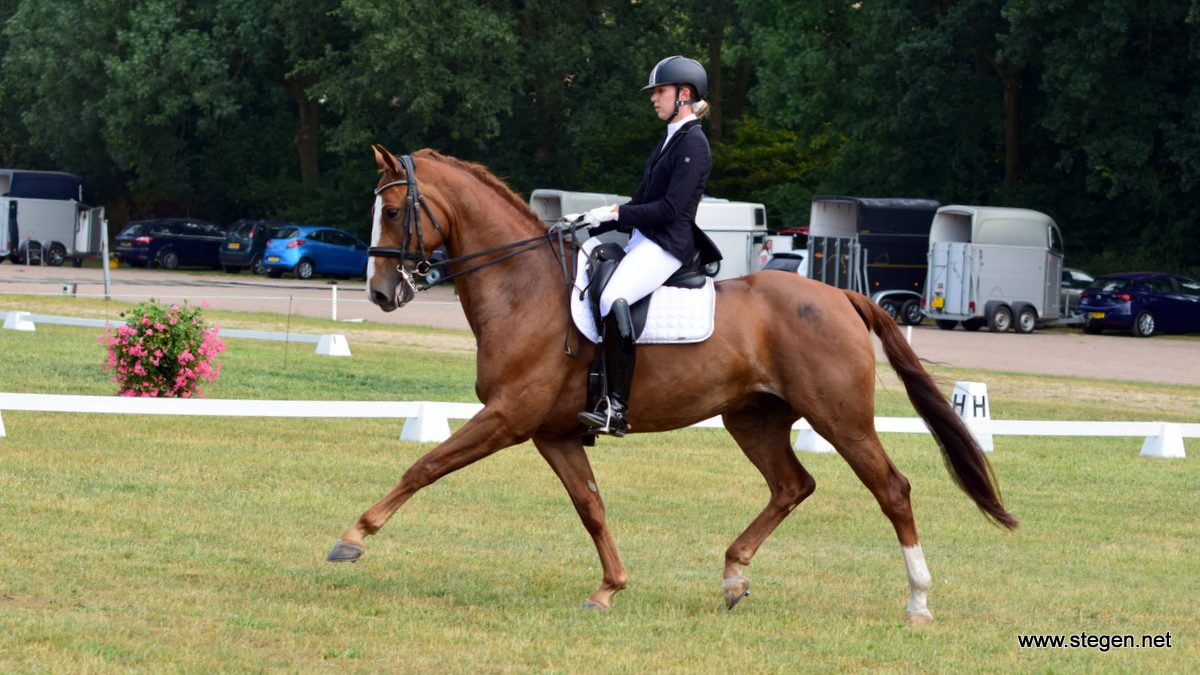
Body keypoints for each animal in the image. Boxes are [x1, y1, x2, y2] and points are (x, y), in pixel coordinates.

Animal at [324, 144, 1017, 619]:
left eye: (393, 210)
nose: (380, 293)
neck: (524, 288)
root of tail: (842, 295)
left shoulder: (508, 417)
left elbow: (425, 466)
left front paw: (351, 538)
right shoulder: (553, 432)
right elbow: (591, 506)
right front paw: (609, 588)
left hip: (839, 417)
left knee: (891, 489)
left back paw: (918, 601)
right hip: (753, 417)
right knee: (792, 485)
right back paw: (734, 575)